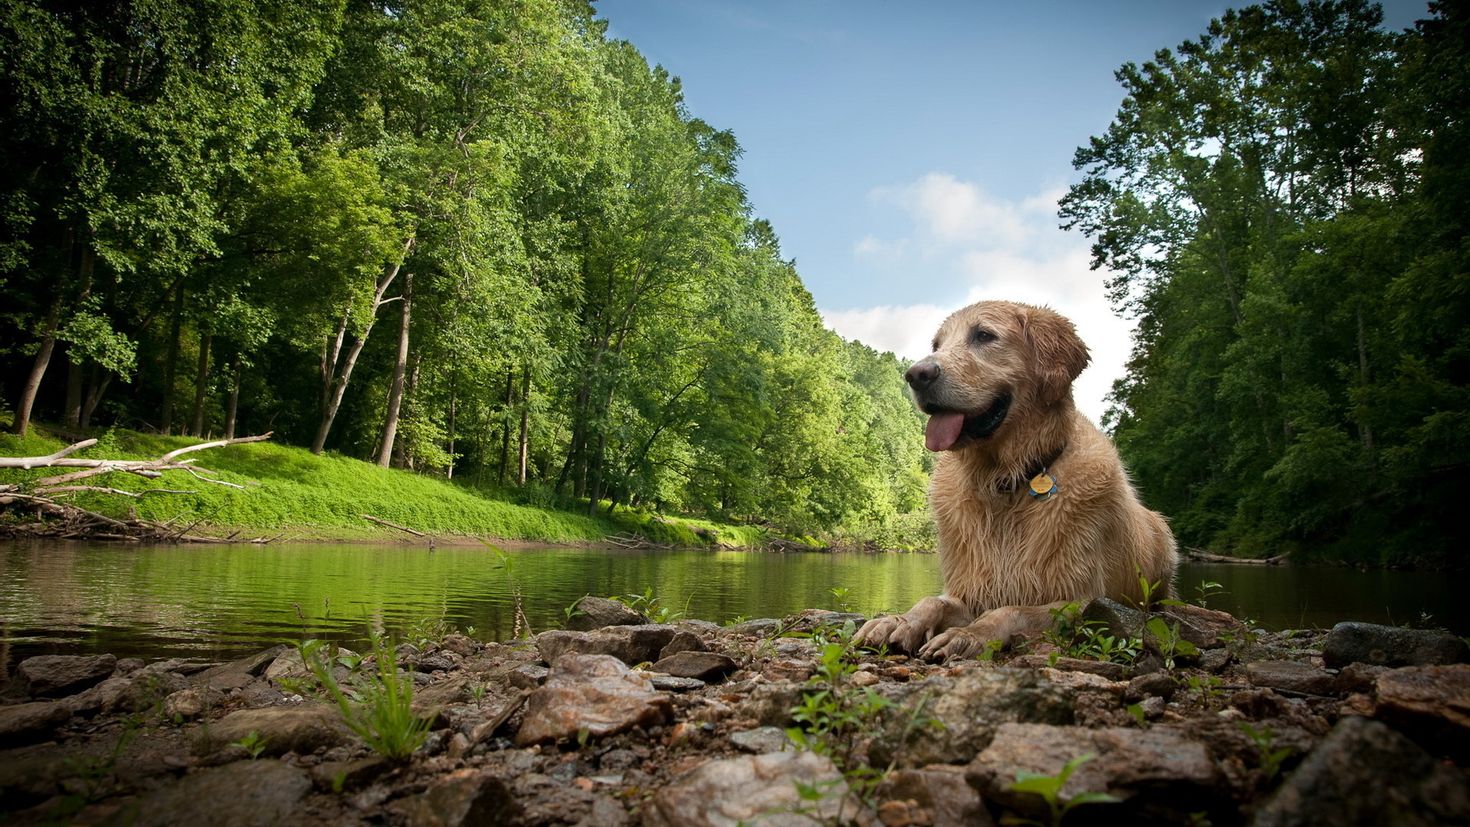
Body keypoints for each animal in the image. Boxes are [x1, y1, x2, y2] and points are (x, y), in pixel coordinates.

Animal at [858, 302, 1176, 661]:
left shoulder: (1080, 599)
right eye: (937, 345)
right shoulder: (971, 589)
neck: (1005, 482)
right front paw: (896, 622)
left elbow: (1009, 611)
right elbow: (931, 601)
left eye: (984, 335)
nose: (916, 375)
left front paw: (967, 635)